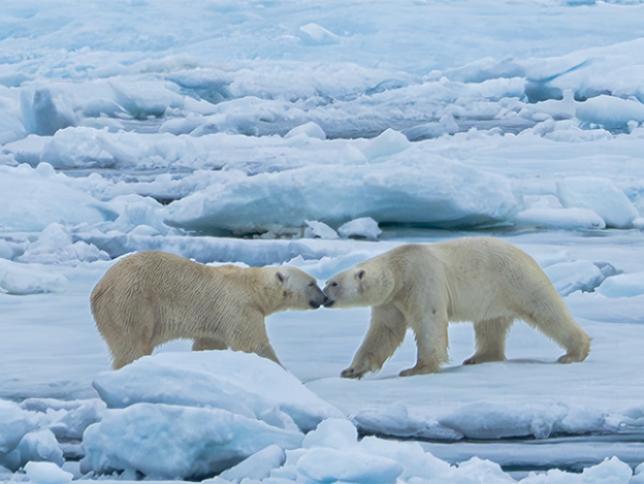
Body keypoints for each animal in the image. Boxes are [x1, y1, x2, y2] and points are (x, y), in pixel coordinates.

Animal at [90, 251, 326, 369]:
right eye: (312, 283)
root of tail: (99, 289)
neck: (252, 287)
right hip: (130, 303)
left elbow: (208, 344)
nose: (323, 298)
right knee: (132, 345)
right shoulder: (239, 308)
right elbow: (253, 345)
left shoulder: (216, 320)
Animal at [322, 237, 591, 378]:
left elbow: (429, 321)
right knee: (489, 327)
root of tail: (527, 255)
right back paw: (479, 357)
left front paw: (417, 368)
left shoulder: (422, 280)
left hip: (517, 280)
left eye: (334, 283)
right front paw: (351, 370)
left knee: (548, 311)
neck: (399, 270)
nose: (323, 297)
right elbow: (384, 332)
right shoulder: (391, 301)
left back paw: (574, 352)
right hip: (493, 296)